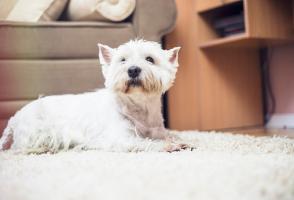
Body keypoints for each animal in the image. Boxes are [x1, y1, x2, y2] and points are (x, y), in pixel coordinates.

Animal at [0, 39, 187, 154]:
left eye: (150, 59)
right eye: (122, 60)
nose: (133, 70)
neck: (138, 108)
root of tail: (15, 118)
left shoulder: (157, 129)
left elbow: (169, 135)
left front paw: (181, 140)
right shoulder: (121, 139)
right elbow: (147, 142)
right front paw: (170, 145)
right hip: (36, 131)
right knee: (19, 148)